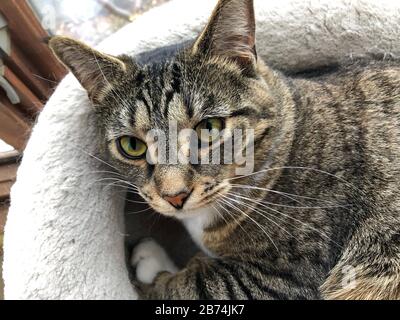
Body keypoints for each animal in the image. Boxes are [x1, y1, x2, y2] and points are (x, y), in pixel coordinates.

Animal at [49, 0, 400, 300]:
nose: (174, 196)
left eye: (209, 127)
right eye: (132, 145)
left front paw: (151, 264)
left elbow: (193, 283)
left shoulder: (286, 273)